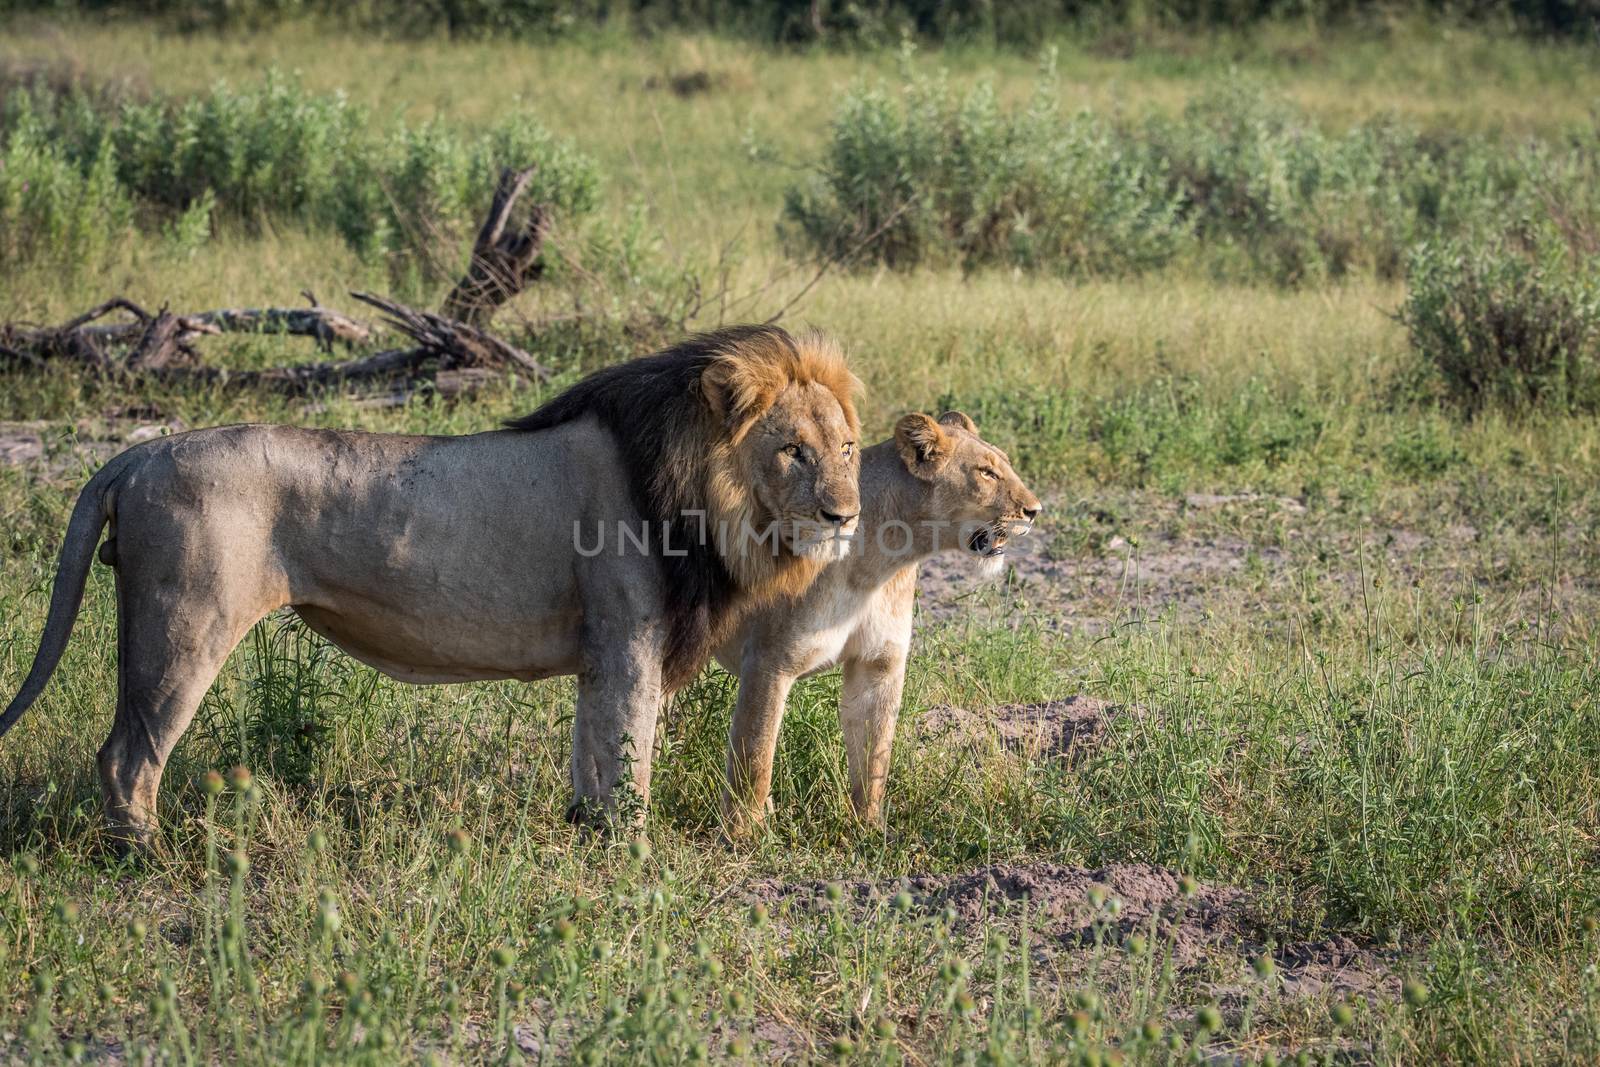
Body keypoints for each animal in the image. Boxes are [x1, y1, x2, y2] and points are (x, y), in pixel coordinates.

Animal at [0, 323, 864, 844]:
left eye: (847, 447)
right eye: (791, 449)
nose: (845, 514)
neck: (707, 498)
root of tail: (136, 454)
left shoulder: (602, 652)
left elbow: (591, 754)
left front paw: (585, 835)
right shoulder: (631, 641)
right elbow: (630, 760)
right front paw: (635, 858)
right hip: (183, 625)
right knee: (126, 753)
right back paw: (146, 856)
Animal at [713, 409, 1036, 831]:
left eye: (1005, 465)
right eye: (986, 472)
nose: (1035, 510)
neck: (876, 564)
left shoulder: (878, 664)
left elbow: (874, 754)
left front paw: (869, 828)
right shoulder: (768, 661)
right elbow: (755, 756)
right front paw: (743, 836)